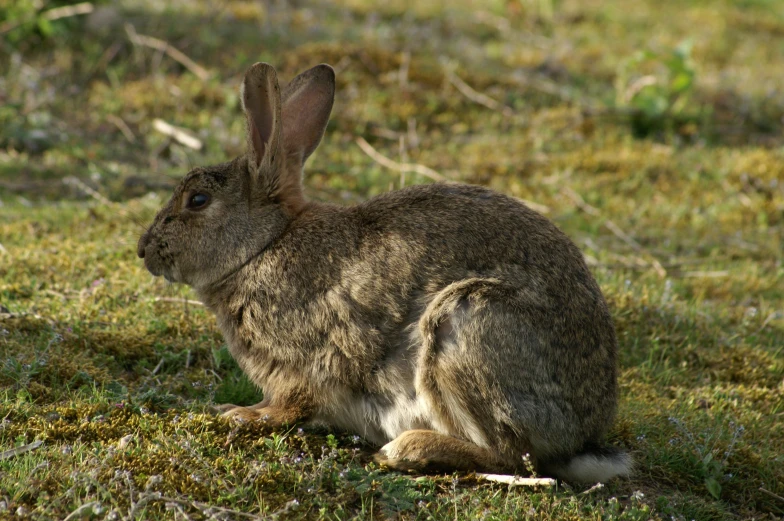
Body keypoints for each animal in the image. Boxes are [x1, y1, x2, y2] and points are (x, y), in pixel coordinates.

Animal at [138, 62, 632, 484]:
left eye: (197, 200)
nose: (144, 250)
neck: (266, 243)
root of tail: (582, 435)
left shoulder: (306, 365)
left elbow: (290, 405)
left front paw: (241, 414)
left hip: (466, 324)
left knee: (512, 456)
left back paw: (409, 449)